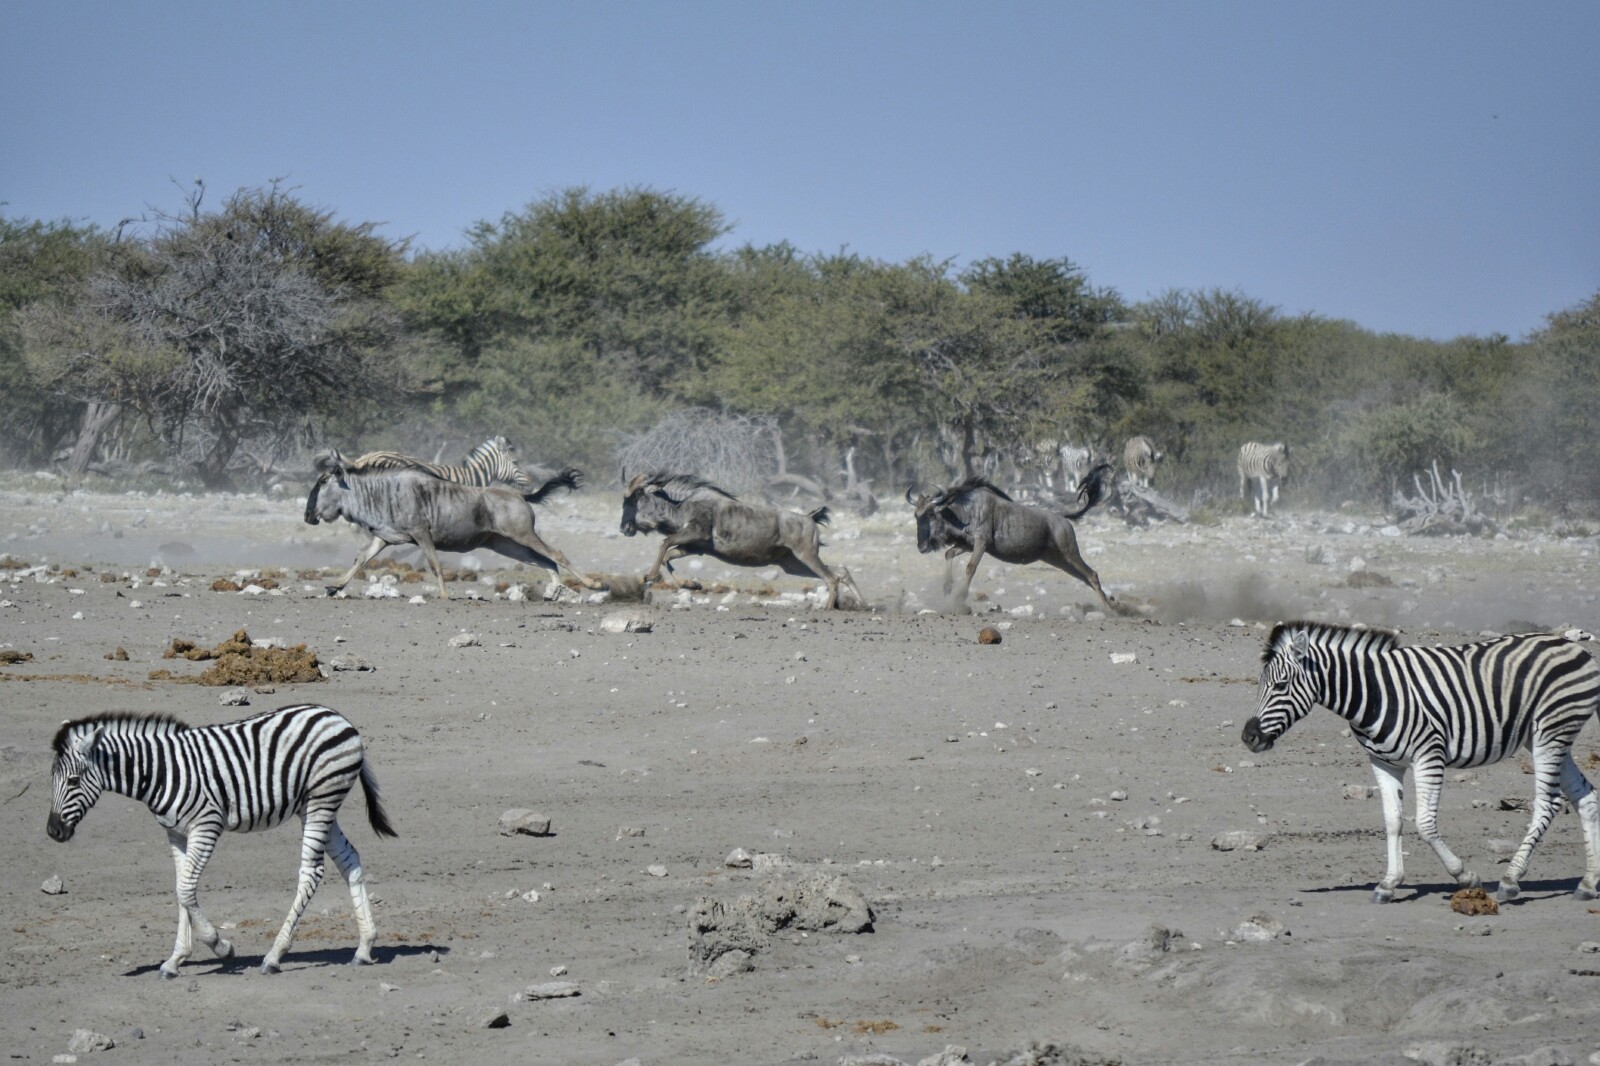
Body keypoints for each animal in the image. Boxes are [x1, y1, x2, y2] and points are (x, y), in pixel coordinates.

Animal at [47, 703, 398, 977]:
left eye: (74, 781)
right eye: (52, 780)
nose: (53, 832)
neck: (161, 772)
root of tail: (338, 717)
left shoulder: (207, 825)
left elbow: (186, 889)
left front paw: (221, 946)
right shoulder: (176, 833)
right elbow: (180, 890)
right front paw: (175, 960)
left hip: (321, 799)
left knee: (311, 873)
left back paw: (274, 956)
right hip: (315, 805)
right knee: (349, 859)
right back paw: (364, 947)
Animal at [1242, 621, 1600, 904]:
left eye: (1281, 685)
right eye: (1259, 685)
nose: (1249, 737)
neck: (1373, 693)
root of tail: (1575, 648)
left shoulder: (1430, 754)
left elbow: (1425, 825)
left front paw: (1465, 876)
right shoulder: (1383, 762)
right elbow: (1393, 821)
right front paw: (1389, 883)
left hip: (1550, 733)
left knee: (1548, 802)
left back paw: (1511, 880)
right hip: (1546, 738)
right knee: (1585, 796)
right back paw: (1588, 883)